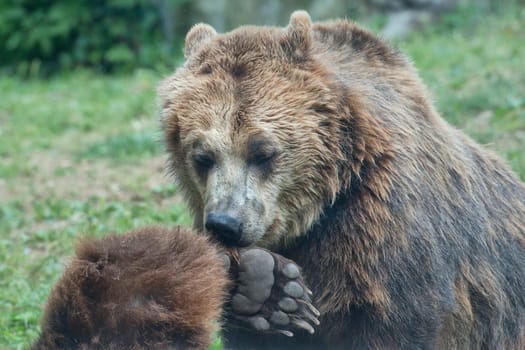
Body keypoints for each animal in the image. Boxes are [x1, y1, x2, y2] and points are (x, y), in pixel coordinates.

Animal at [159, 9, 524, 348]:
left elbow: (396, 320)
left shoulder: (382, 229)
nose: (226, 223)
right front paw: (265, 289)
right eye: (202, 157)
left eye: (263, 153)